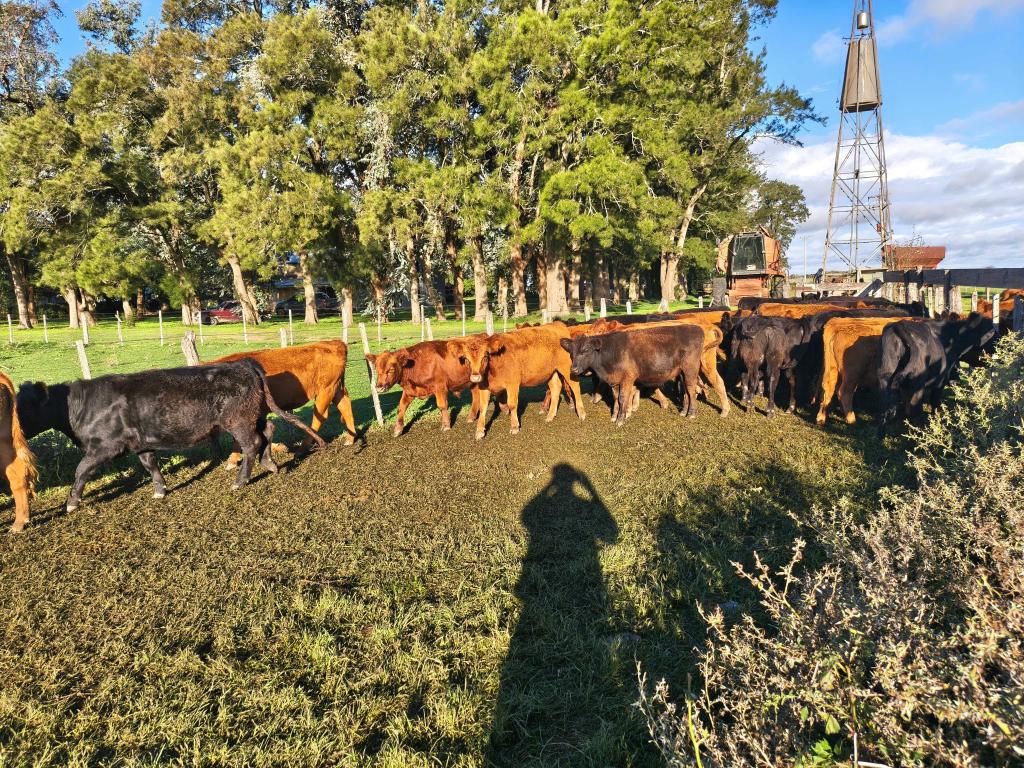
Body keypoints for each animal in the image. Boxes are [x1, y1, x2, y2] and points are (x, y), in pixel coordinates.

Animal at [16, 360, 325, 514]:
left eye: (23, 407)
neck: (80, 408)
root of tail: (244, 365)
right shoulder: (140, 443)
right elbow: (150, 464)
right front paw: (160, 489)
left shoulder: (104, 447)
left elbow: (81, 471)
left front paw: (71, 503)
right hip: (253, 416)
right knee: (268, 430)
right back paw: (270, 464)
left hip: (237, 421)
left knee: (252, 444)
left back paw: (241, 481)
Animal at [210, 341, 355, 465]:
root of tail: (333, 342)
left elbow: (239, 438)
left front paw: (232, 460)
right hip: (334, 388)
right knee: (345, 405)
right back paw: (350, 438)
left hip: (325, 390)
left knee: (319, 417)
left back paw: (302, 450)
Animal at [451, 324, 586, 439]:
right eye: (466, 359)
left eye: (485, 357)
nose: (475, 377)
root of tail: (558, 325)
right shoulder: (484, 386)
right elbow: (483, 407)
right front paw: (479, 431)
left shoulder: (513, 384)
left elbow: (512, 404)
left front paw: (515, 426)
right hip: (551, 372)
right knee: (555, 388)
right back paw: (550, 416)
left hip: (566, 367)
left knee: (575, 386)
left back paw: (581, 413)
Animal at [560, 324, 707, 426]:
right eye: (571, 352)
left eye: (585, 350)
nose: (573, 370)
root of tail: (695, 328)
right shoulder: (615, 381)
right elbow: (615, 398)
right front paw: (614, 416)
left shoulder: (627, 378)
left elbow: (622, 398)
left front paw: (620, 419)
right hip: (682, 372)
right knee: (686, 391)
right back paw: (683, 412)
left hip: (690, 369)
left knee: (691, 389)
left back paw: (692, 414)